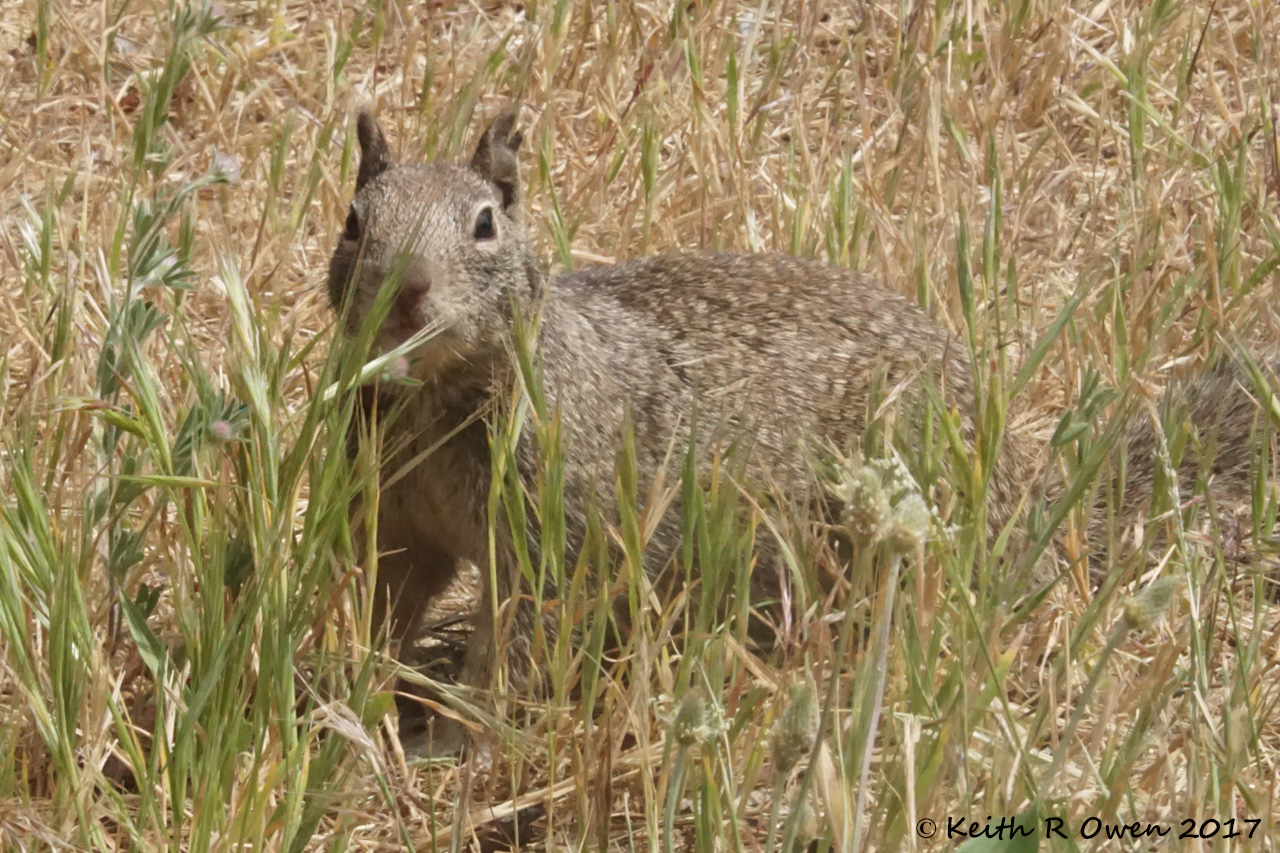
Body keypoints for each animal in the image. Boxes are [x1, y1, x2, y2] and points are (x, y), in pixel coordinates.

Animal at [327, 104, 1270, 716]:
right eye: (352, 220)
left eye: (486, 223)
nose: (405, 293)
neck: (434, 397)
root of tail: (1017, 502)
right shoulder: (393, 517)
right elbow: (384, 598)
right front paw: (353, 692)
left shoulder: (552, 528)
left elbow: (520, 637)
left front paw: (462, 738)